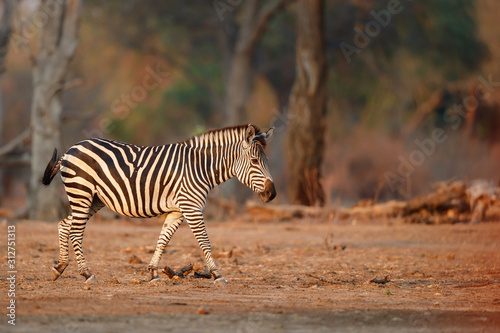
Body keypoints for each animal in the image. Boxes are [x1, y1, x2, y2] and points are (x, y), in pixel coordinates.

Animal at [42, 123, 278, 284]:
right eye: (254, 161)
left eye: (267, 161)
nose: (272, 194)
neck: (200, 167)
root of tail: (71, 148)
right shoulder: (192, 207)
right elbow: (205, 242)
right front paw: (217, 274)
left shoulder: (177, 211)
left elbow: (163, 240)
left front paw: (153, 273)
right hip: (81, 192)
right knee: (75, 231)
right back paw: (87, 274)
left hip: (94, 199)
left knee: (64, 225)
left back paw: (59, 268)